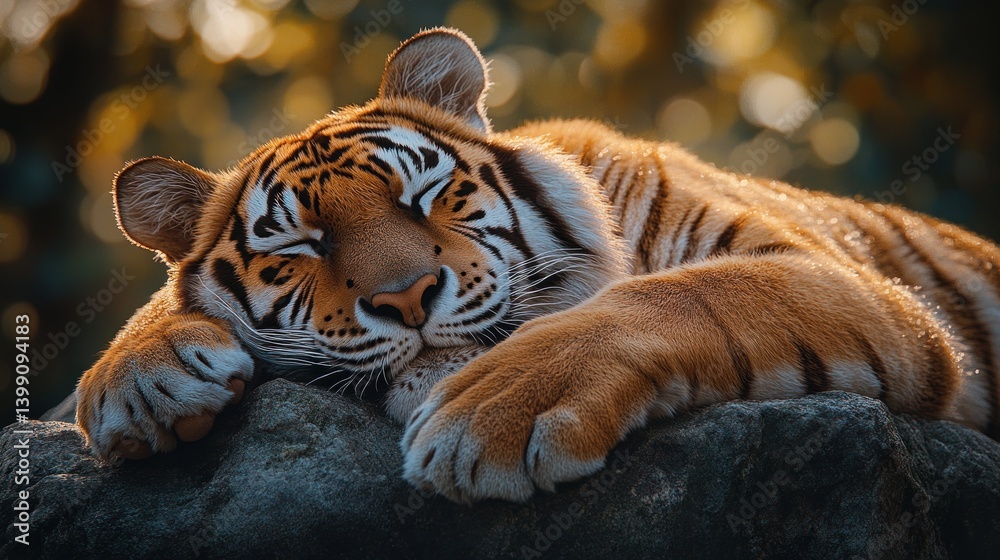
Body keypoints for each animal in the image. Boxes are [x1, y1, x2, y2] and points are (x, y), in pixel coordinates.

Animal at [76, 27, 1000, 504]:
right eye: (301, 247)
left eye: (424, 195)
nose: (407, 297)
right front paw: (135, 377)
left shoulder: (846, 281)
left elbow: (685, 295)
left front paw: (492, 414)